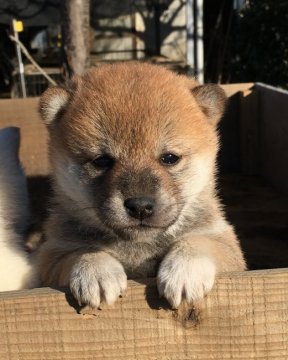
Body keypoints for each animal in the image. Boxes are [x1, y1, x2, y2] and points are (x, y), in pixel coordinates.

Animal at [38, 62, 245, 310]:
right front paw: (96, 270)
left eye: (169, 158)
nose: (140, 207)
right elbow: (82, 251)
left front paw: (184, 271)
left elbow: (198, 241)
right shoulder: (52, 254)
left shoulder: (225, 243)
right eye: (101, 161)